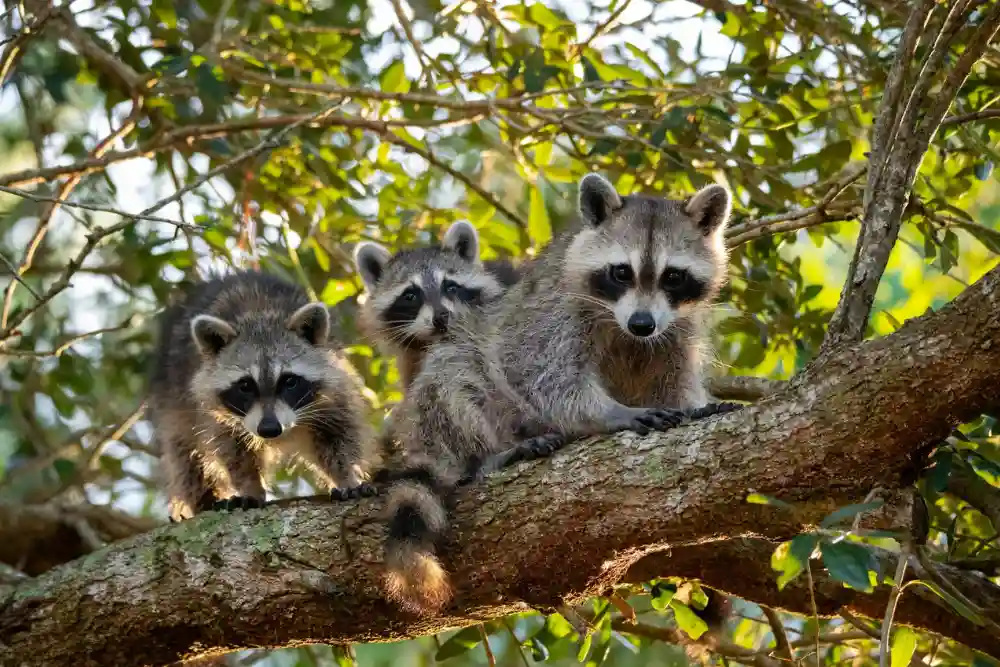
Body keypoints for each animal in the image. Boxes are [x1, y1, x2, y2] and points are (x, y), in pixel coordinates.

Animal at [148, 271, 376, 521]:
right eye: (245, 385)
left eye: (289, 381)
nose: (269, 429)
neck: (258, 315)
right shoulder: (209, 408)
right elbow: (230, 449)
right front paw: (250, 486)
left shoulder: (332, 392)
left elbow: (338, 435)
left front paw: (346, 476)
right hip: (172, 398)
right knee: (183, 454)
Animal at [382, 173, 736, 613]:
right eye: (621, 272)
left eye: (673, 276)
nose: (641, 324)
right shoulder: (554, 309)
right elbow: (538, 373)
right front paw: (613, 413)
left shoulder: (675, 331)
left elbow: (673, 381)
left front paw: (695, 407)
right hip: (443, 400)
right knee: (454, 380)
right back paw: (487, 455)